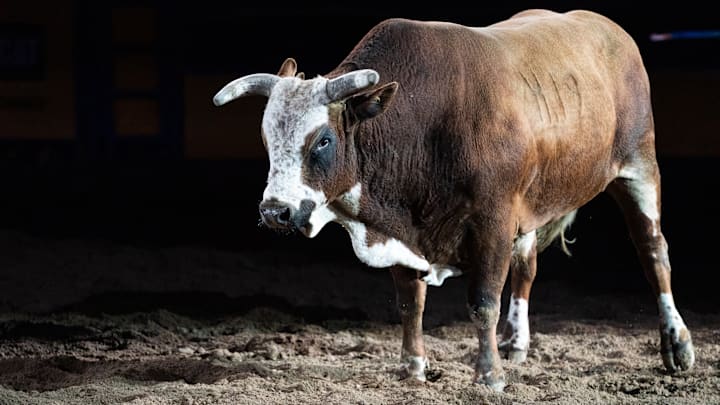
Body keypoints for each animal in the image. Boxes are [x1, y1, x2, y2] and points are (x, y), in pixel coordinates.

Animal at [212, 9, 695, 391]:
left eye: (323, 140)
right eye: (268, 140)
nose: (275, 211)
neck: (423, 124)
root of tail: (608, 28)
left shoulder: (493, 220)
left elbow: (482, 301)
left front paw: (489, 375)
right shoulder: (404, 225)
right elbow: (411, 300)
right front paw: (412, 367)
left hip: (639, 168)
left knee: (654, 253)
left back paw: (677, 344)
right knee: (527, 265)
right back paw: (515, 341)